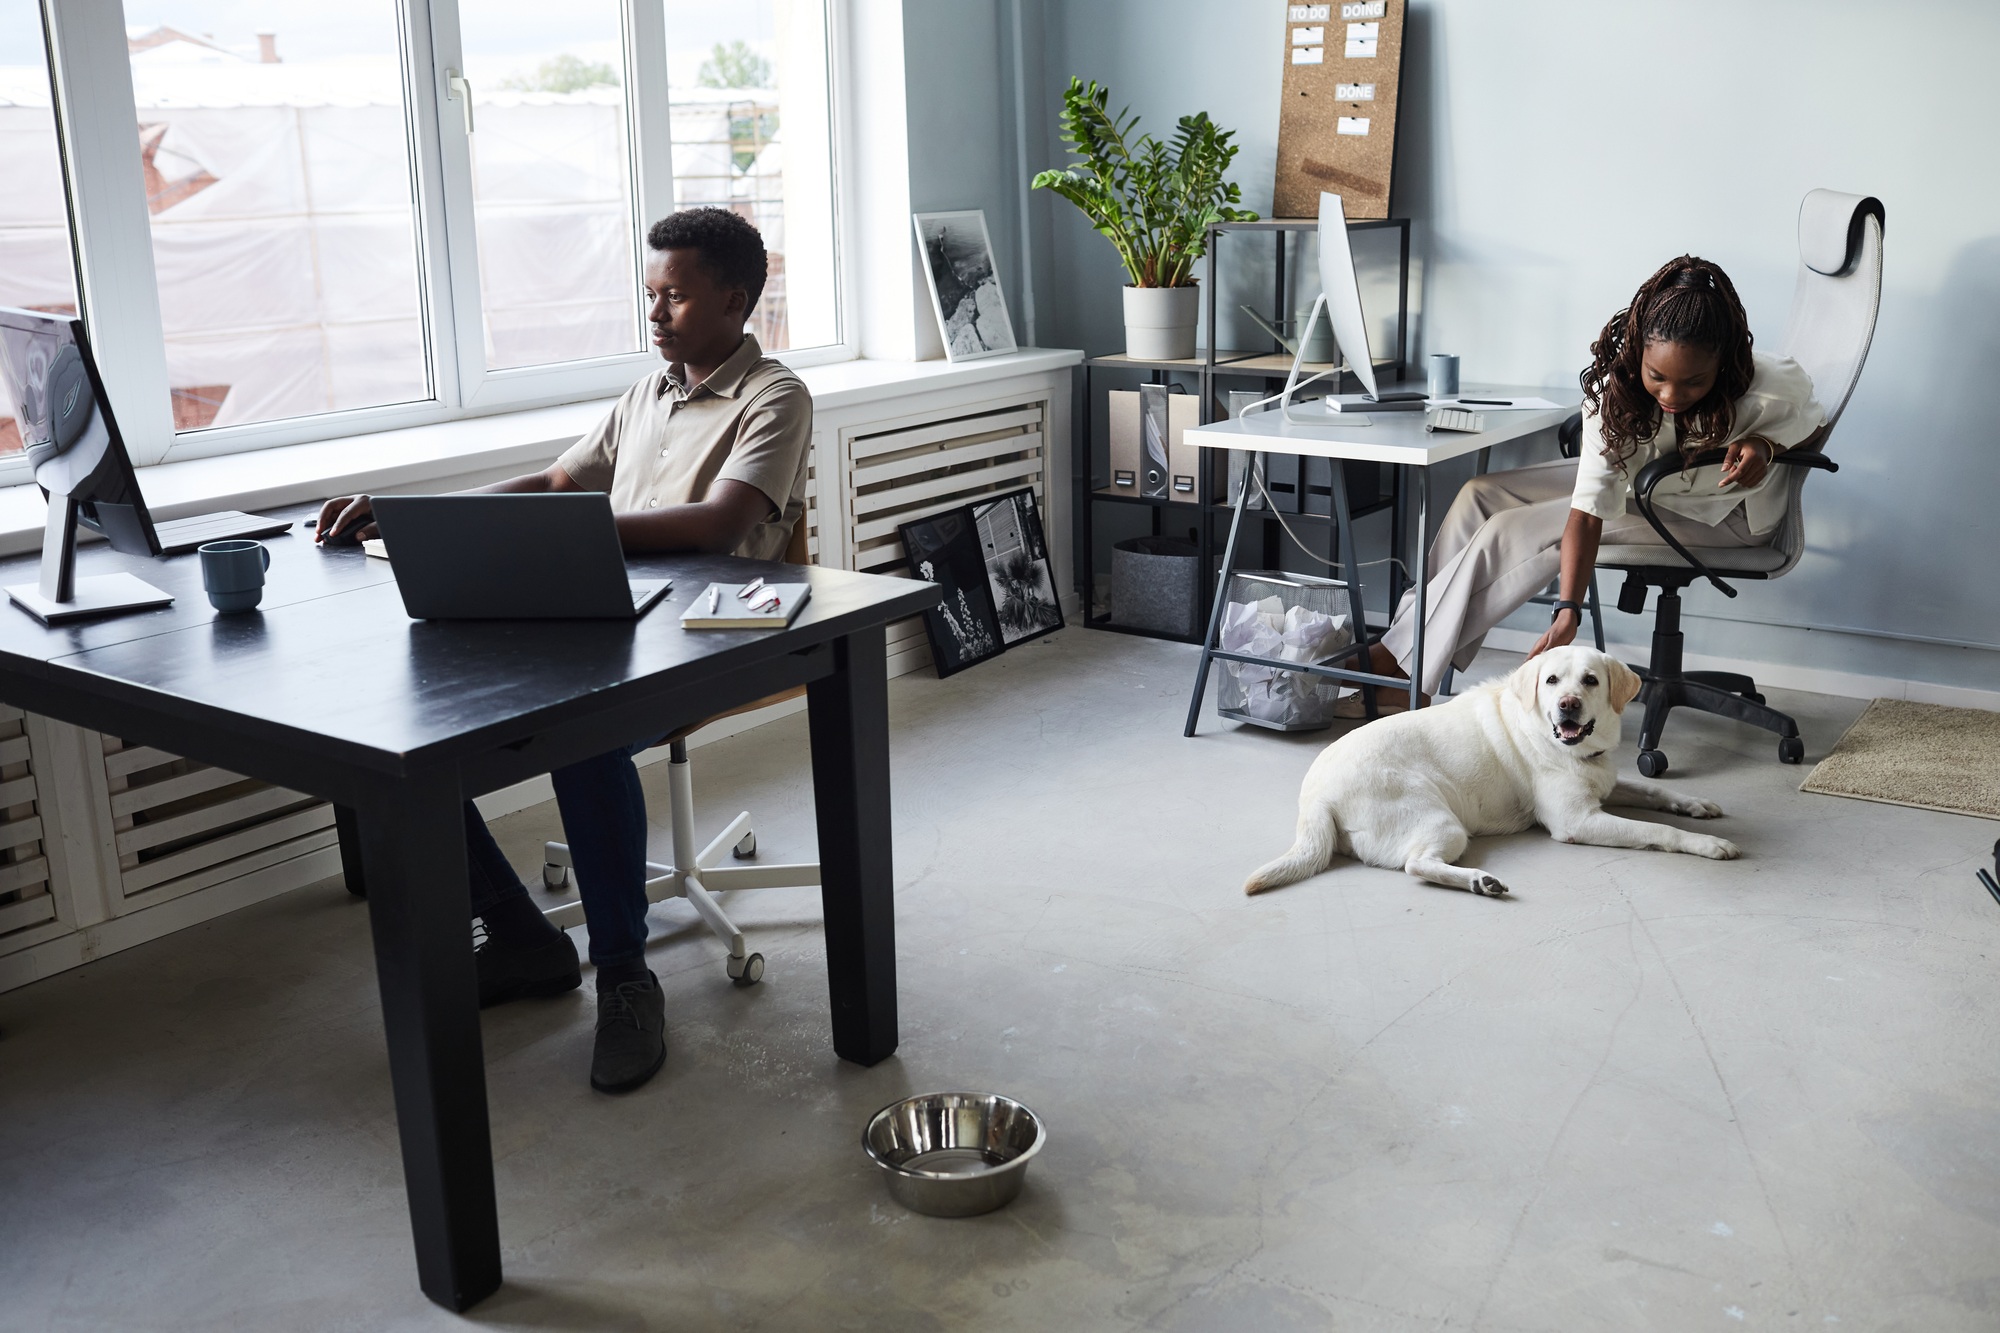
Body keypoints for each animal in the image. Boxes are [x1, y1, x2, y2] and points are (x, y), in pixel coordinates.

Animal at [1248, 640, 1736, 892]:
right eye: (1551, 680)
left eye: (1591, 680)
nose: (1567, 705)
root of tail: (1314, 797)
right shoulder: (1577, 820)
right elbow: (1656, 830)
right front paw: (1708, 844)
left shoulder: (1606, 781)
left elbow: (1656, 791)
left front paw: (1696, 804)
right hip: (1442, 822)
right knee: (1416, 866)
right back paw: (1479, 880)